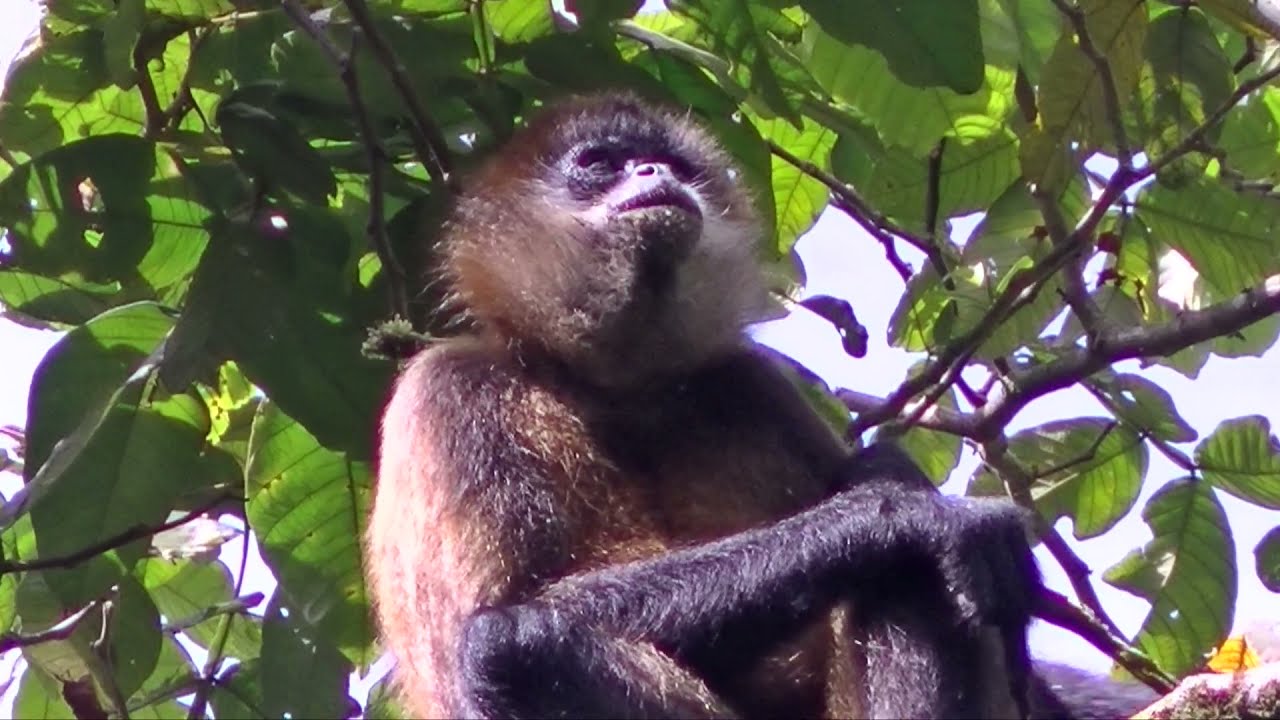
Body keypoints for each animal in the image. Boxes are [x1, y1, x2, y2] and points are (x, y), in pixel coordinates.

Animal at [366, 92, 1158, 719]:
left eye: (672, 165)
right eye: (600, 162)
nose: (654, 175)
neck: (625, 388)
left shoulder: (749, 382)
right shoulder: (453, 389)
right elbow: (485, 628)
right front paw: (902, 513)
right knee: (510, 648)